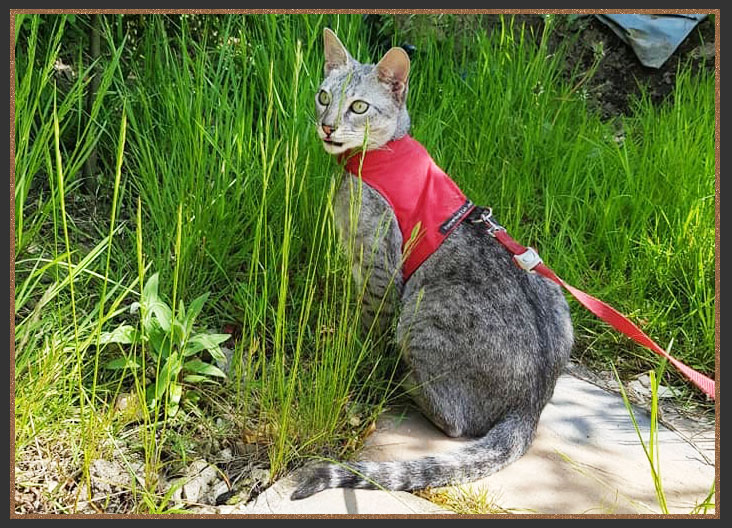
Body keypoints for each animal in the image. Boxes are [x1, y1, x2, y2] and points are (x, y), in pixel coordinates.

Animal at [290, 27, 572, 500]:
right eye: (323, 96)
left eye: (359, 106)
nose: (327, 126)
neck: (369, 161)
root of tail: (530, 404)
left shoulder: (379, 268)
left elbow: (367, 325)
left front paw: (358, 357)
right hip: (547, 282)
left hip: (423, 311)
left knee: (454, 420)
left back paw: (402, 381)